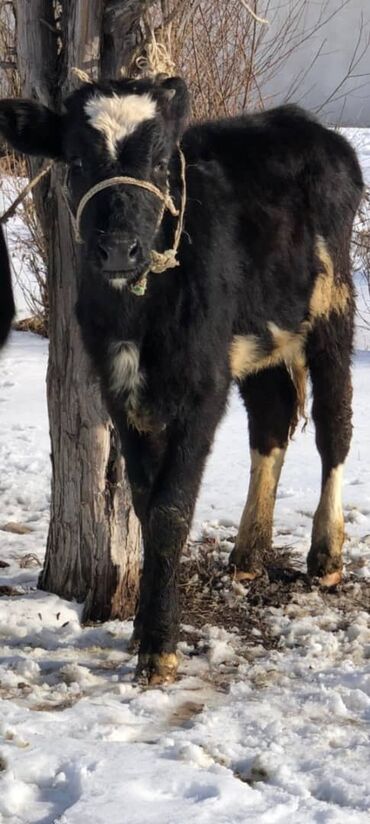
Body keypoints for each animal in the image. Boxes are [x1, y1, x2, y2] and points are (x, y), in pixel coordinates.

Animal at [0, 75, 362, 684]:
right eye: (76, 160)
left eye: (162, 161)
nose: (119, 249)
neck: (137, 309)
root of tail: (302, 123)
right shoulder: (116, 389)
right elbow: (146, 506)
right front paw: (144, 626)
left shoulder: (202, 388)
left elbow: (171, 509)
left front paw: (159, 650)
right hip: (259, 337)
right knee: (271, 421)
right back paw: (248, 554)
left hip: (331, 304)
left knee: (334, 424)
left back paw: (326, 553)